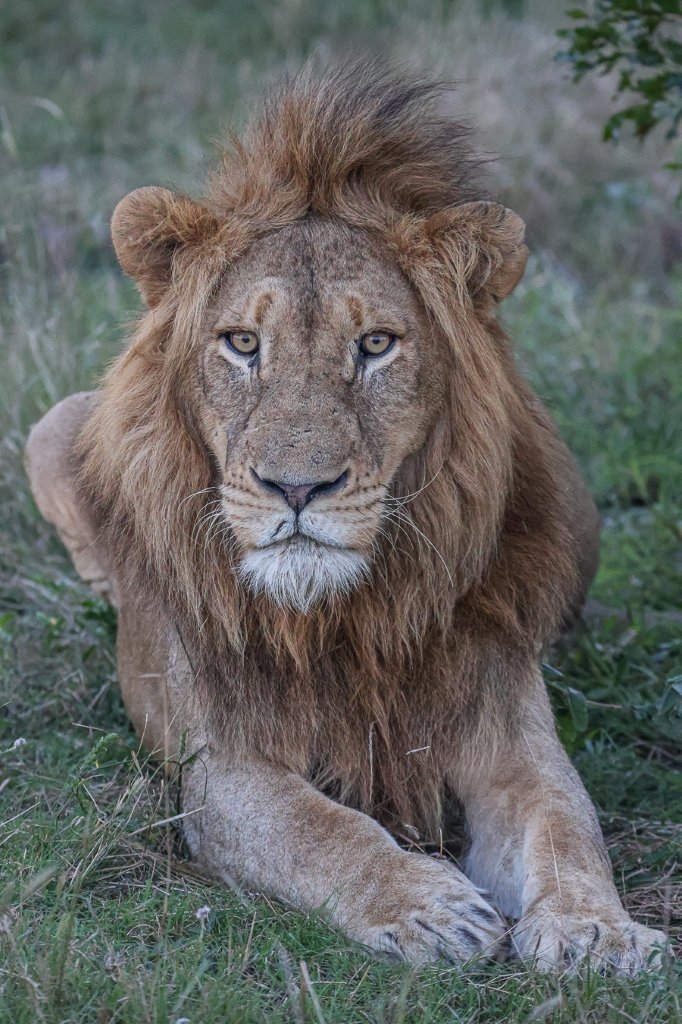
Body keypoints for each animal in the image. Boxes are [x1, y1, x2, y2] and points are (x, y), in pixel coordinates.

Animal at [26, 63, 667, 973]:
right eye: (242, 343)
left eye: (375, 345)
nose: (298, 488)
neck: (343, 619)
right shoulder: (221, 764)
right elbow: (318, 829)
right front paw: (430, 907)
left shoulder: (506, 726)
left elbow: (566, 821)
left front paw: (596, 930)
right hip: (51, 429)